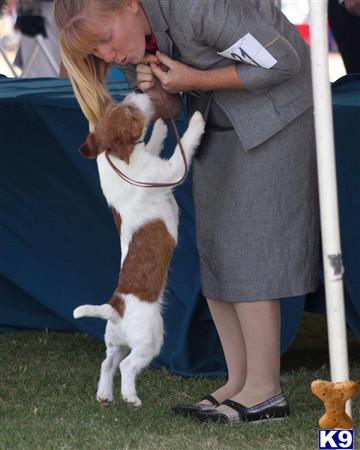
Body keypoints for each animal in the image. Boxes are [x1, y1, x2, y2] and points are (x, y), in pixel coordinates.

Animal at [73, 93, 205, 406]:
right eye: (131, 111)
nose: (140, 92)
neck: (116, 158)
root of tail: (115, 307)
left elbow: (154, 142)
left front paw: (160, 127)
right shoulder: (168, 171)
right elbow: (183, 147)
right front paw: (196, 121)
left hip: (115, 341)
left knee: (107, 363)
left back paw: (105, 395)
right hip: (149, 339)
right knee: (126, 365)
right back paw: (130, 396)